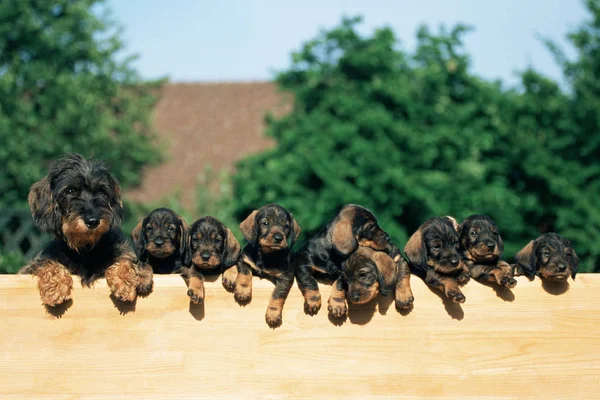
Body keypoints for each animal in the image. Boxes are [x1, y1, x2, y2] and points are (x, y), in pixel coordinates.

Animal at [20, 153, 148, 306]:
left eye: (101, 191)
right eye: (70, 191)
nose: (93, 221)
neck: (86, 249)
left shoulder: (125, 252)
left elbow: (125, 261)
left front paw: (125, 281)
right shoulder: (32, 266)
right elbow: (47, 263)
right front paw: (55, 286)